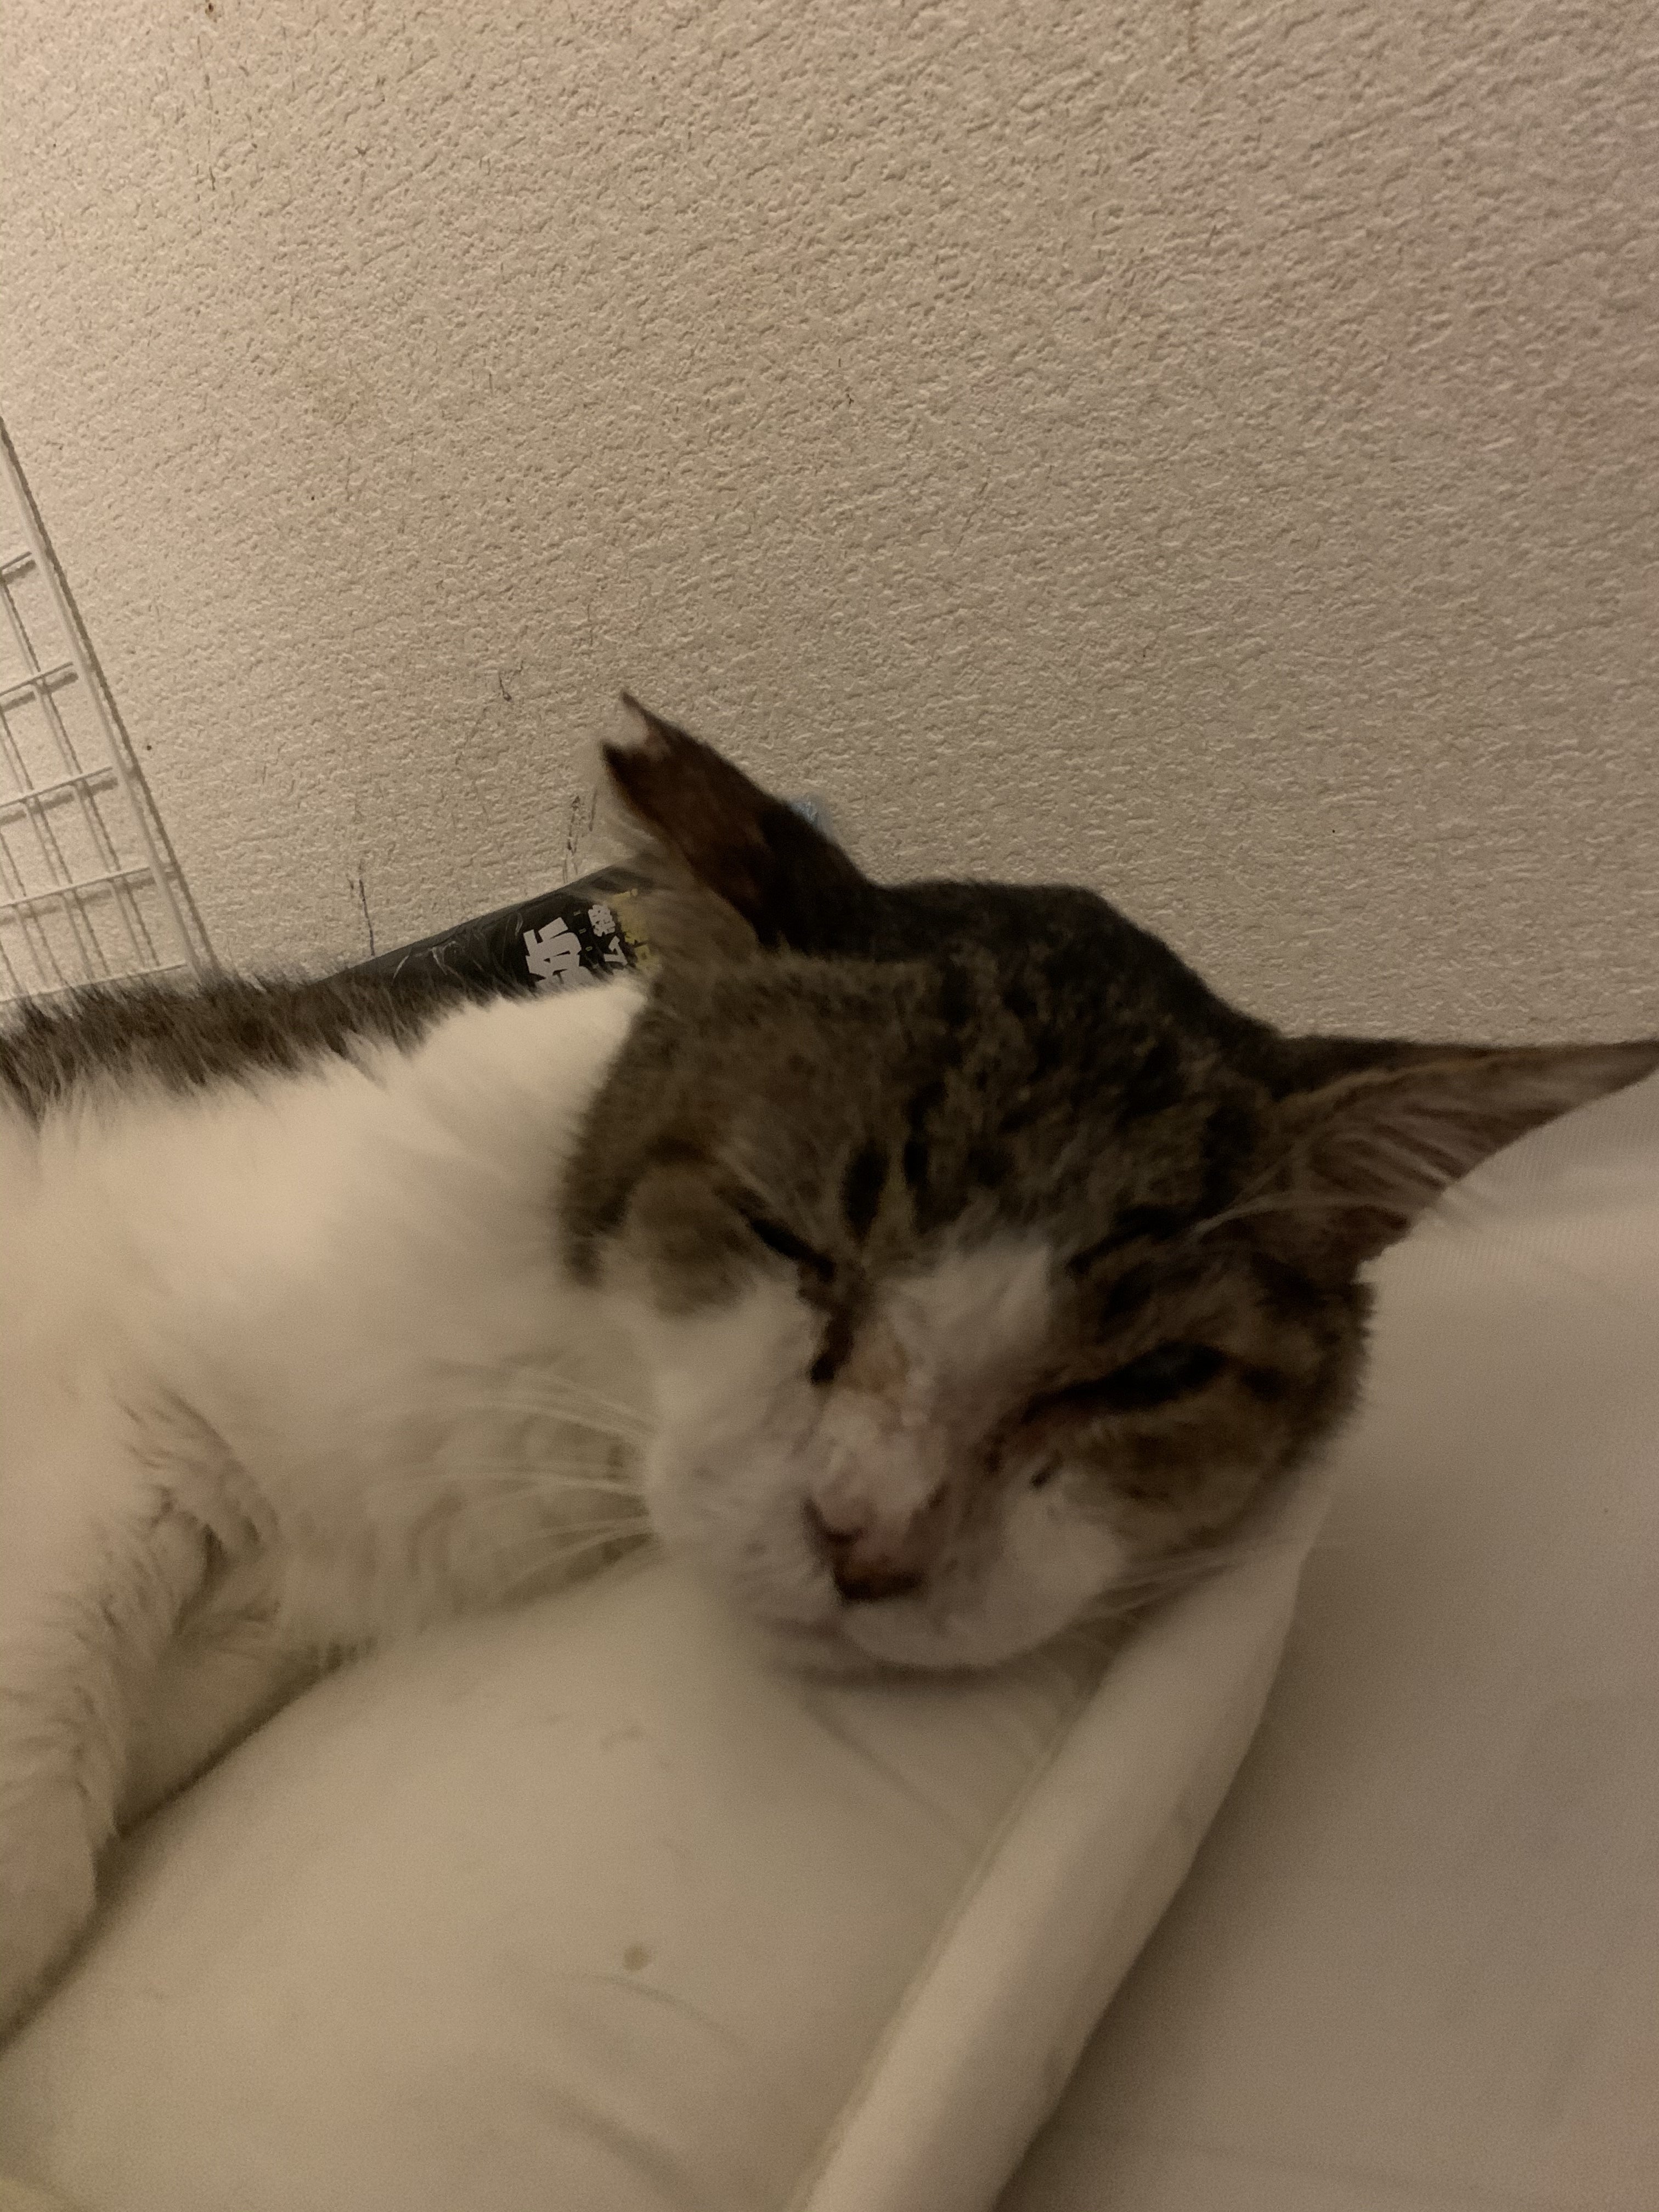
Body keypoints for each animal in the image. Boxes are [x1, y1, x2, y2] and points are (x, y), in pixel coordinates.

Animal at [1, 697, 1654, 2036]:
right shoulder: (136, 1389)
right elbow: (48, 1761)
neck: (577, 1385)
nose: (874, 1541)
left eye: (1146, 1379)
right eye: (788, 1236)